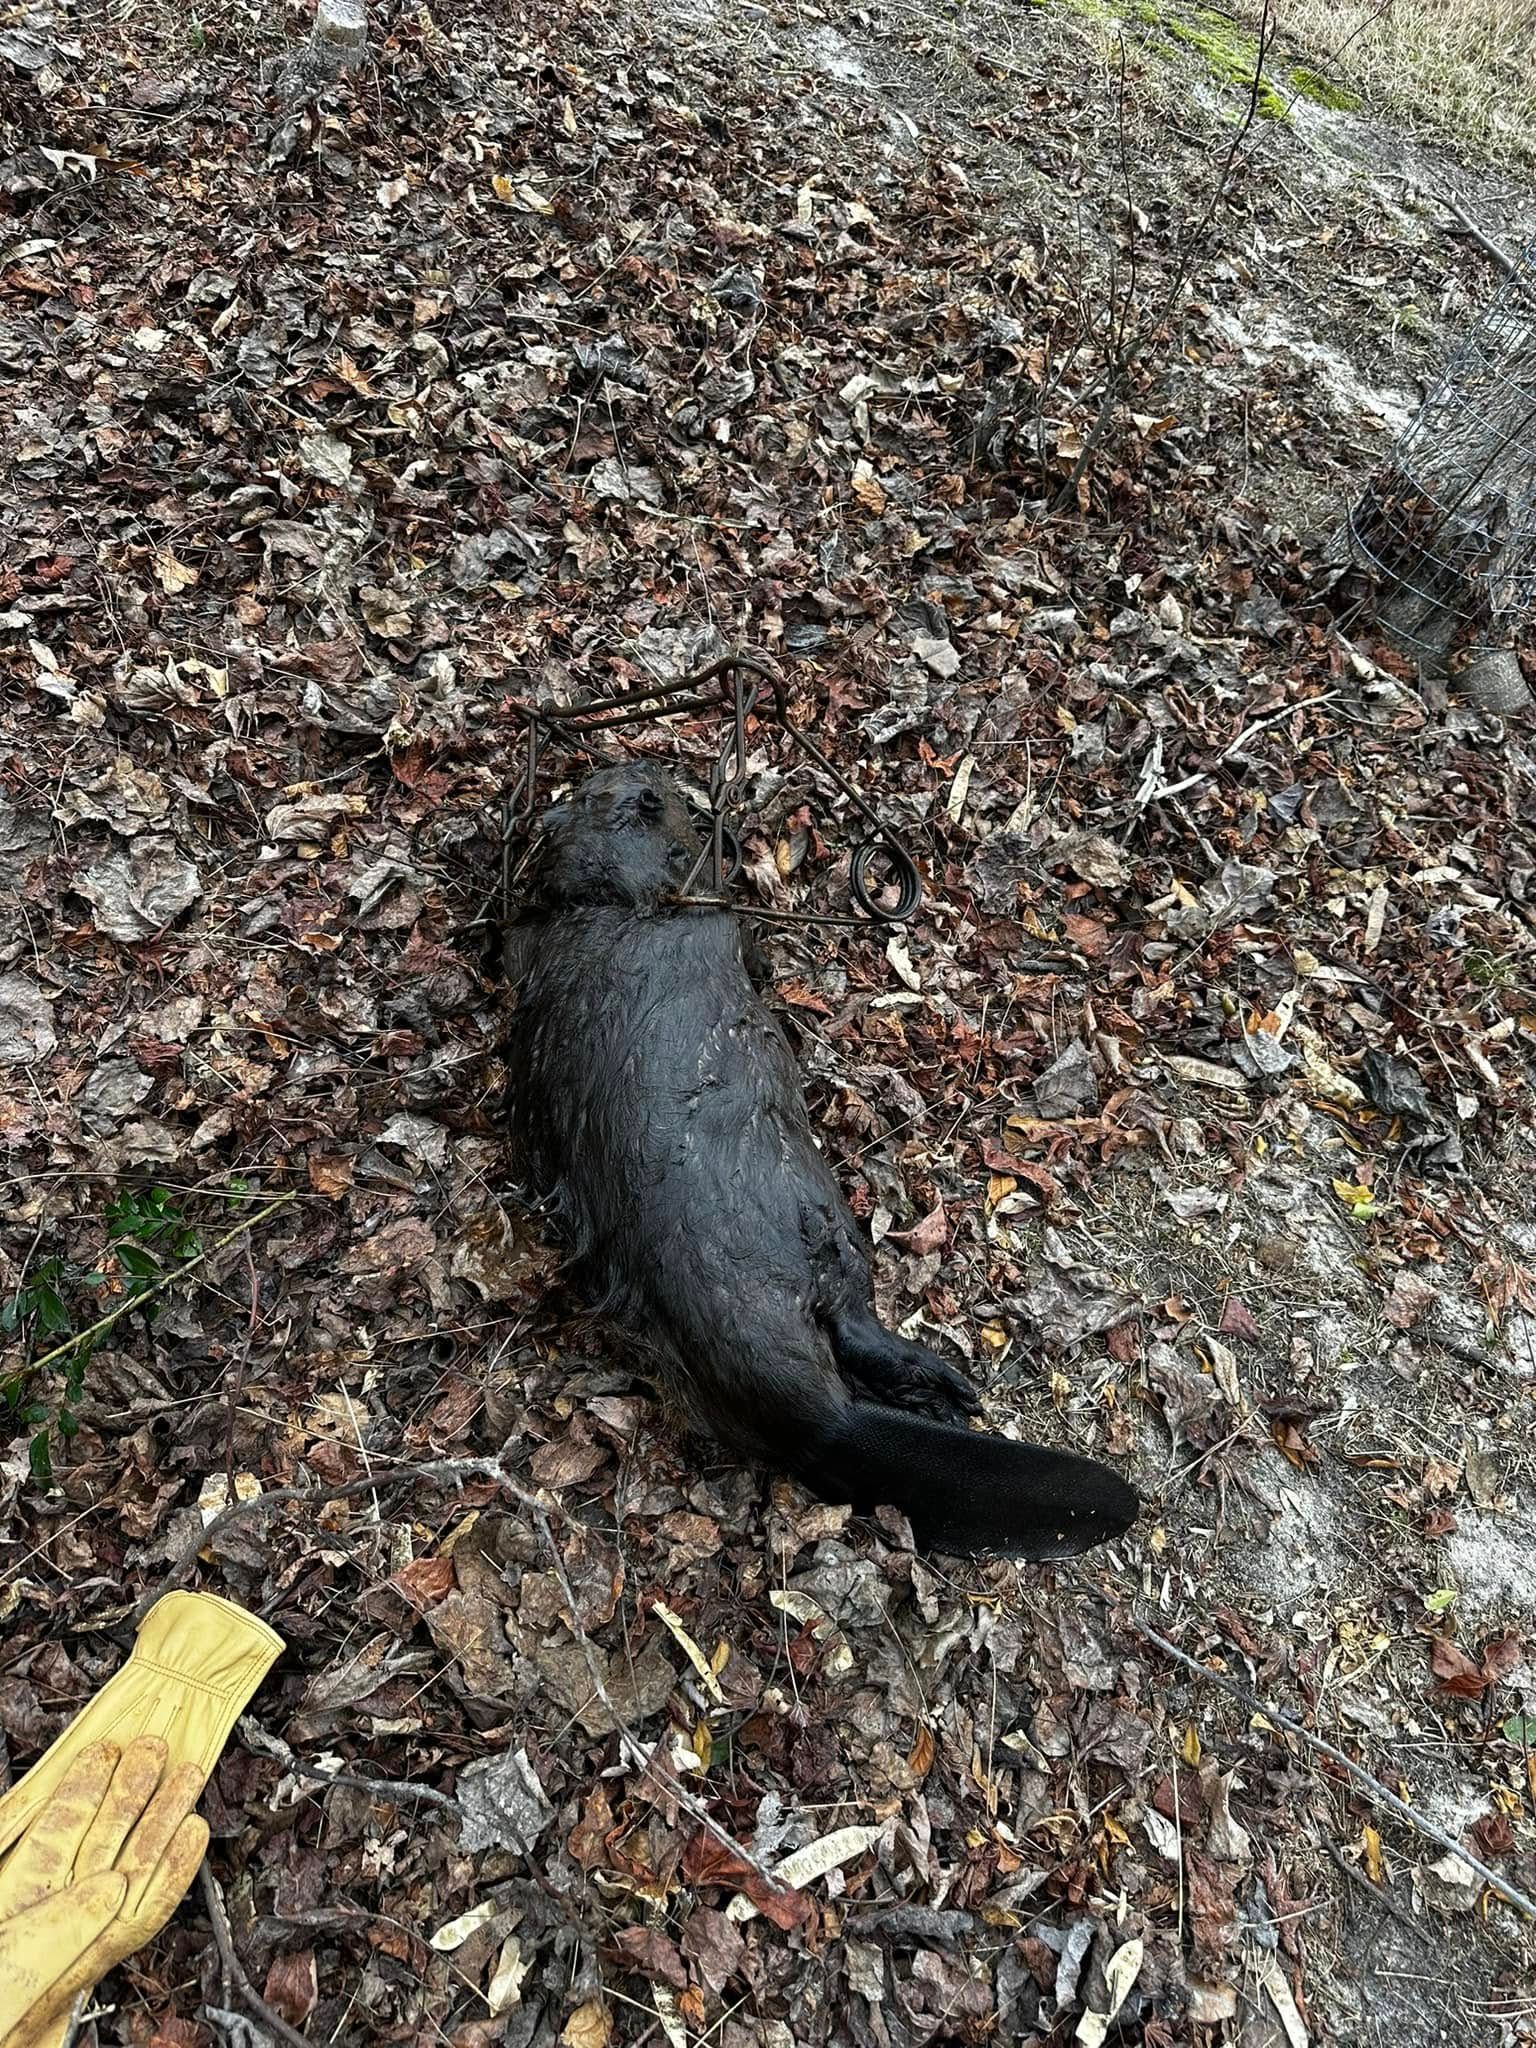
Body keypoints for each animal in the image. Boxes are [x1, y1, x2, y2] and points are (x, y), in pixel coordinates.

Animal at [502, 761, 1137, 1558]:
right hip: (830, 1240)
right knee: (857, 1325)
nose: (649, 775)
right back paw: (951, 1390)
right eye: (645, 798)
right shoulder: (717, 921)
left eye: (592, 791)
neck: (626, 905)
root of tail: (827, 1422)